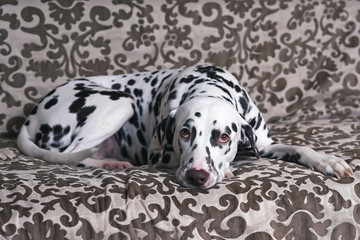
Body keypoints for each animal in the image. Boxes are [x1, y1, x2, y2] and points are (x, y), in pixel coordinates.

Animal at [16, 64, 352, 188]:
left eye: (224, 137)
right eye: (184, 132)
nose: (196, 177)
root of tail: (31, 116)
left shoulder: (263, 143)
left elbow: (300, 147)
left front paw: (329, 160)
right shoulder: (158, 154)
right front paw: (227, 170)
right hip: (120, 102)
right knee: (75, 155)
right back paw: (111, 163)